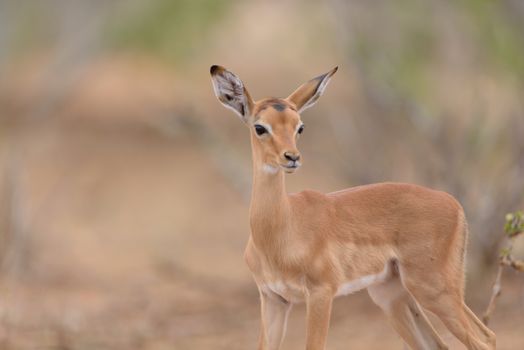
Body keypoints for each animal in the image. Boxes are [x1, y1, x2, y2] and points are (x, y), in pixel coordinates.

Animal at [209, 65, 496, 350]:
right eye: (259, 127)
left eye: (299, 127)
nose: (292, 157)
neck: (281, 231)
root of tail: (455, 204)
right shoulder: (273, 299)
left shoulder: (321, 293)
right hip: (392, 295)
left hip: (434, 290)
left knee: (484, 339)